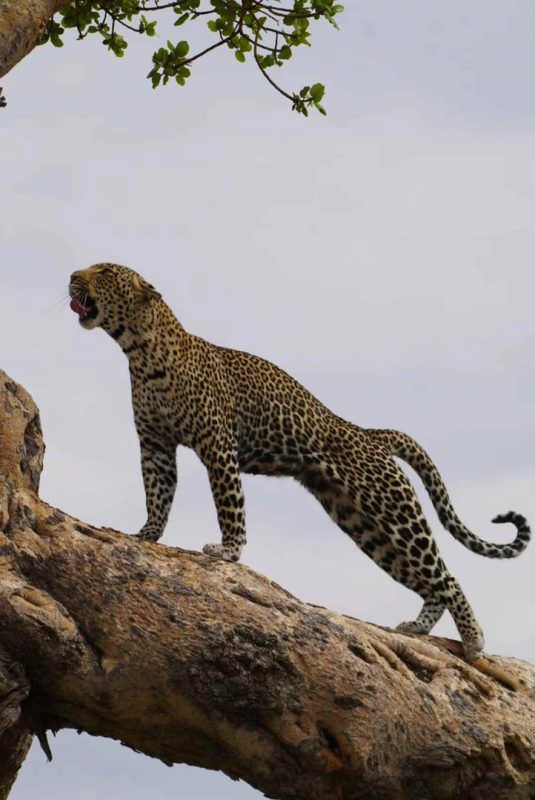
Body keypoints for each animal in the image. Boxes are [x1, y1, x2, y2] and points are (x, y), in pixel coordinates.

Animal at [68, 263, 531, 661]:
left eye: (105, 270)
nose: (72, 275)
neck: (138, 350)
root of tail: (370, 433)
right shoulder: (155, 446)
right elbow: (158, 495)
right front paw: (146, 535)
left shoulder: (217, 445)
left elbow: (229, 504)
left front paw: (228, 552)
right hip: (365, 525)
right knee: (429, 580)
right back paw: (417, 628)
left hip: (394, 512)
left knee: (447, 576)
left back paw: (473, 640)